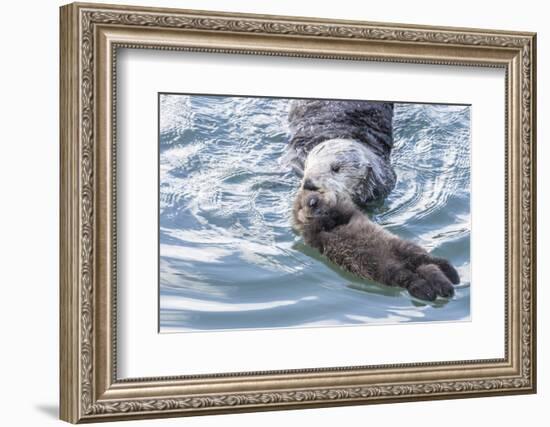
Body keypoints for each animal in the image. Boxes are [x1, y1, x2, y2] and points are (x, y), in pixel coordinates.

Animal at [294, 191, 462, 300]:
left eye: (317, 193)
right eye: (301, 205)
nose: (313, 202)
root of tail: (405, 263)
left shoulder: (348, 211)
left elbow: (344, 212)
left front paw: (330, 212)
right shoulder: (312, 238)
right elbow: (314, 230)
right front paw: (321, 219)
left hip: (403, 247)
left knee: (427, 261)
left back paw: (450, 275)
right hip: (382, 269)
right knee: (410, 276)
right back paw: (429, 291)